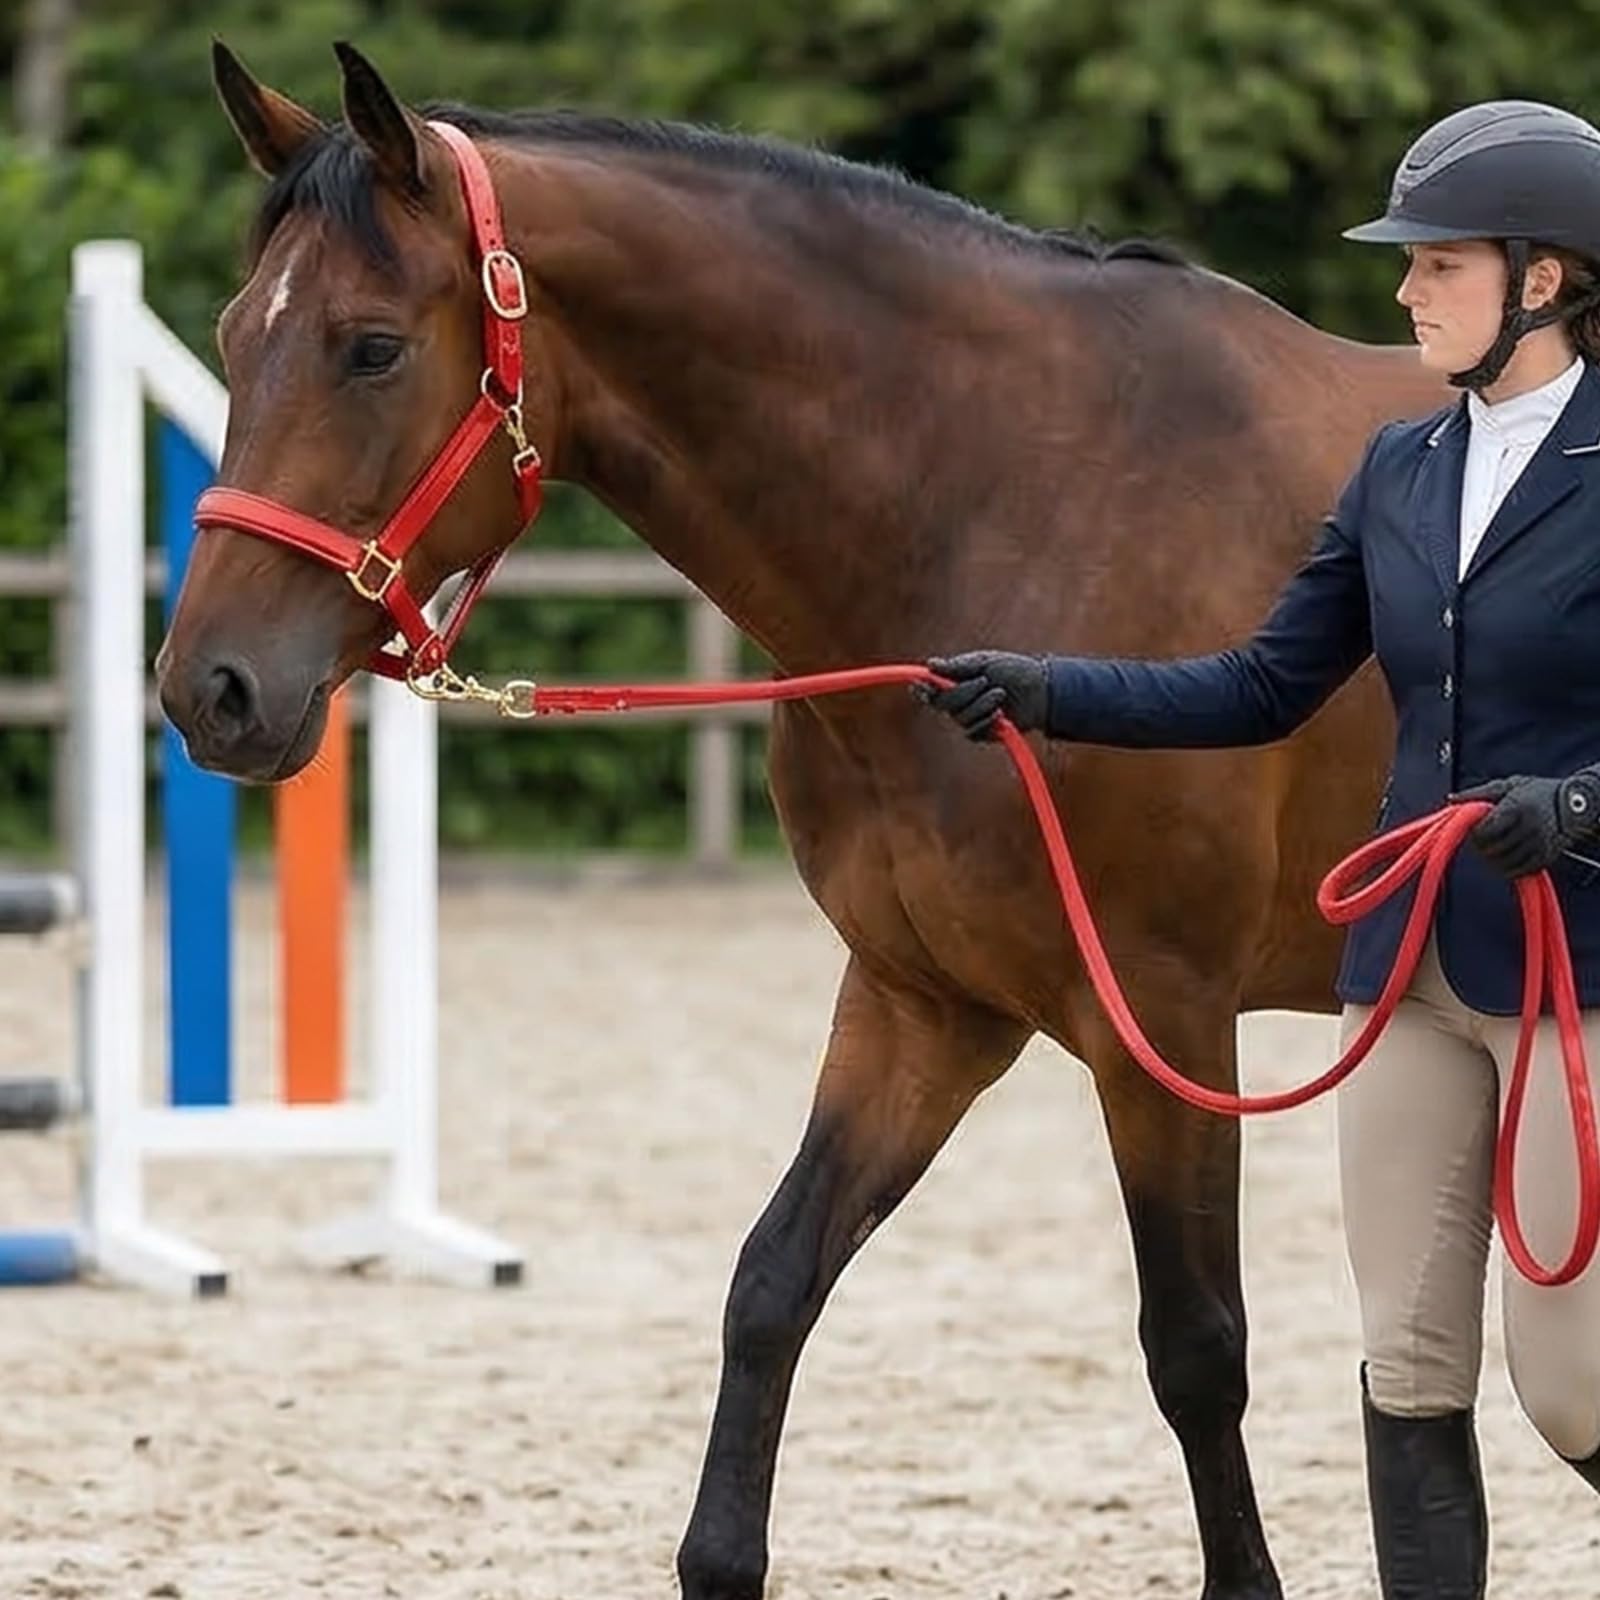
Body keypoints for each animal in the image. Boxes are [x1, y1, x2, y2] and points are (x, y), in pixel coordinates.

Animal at [155, 40, 1449, 1600]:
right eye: (234, 337)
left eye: (370, 348)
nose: (209, 688)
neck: (1013, 503)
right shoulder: (923, 1004)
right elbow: (772, 1282)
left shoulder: (1164, 1021)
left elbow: (1196, 1350)